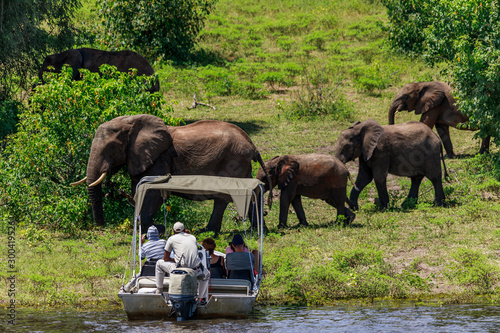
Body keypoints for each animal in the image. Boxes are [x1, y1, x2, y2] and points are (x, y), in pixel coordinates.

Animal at [71, 114, 270, 233]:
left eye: (111, 148)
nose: (101, 225)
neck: (131, 122)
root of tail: (252, 145)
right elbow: (138, 190)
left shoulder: (160, 159)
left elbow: (153, 192)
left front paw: (154, 228)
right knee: (250, 192)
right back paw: (258, 231)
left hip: (233, 160)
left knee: (226, 196)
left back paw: (209, 232)